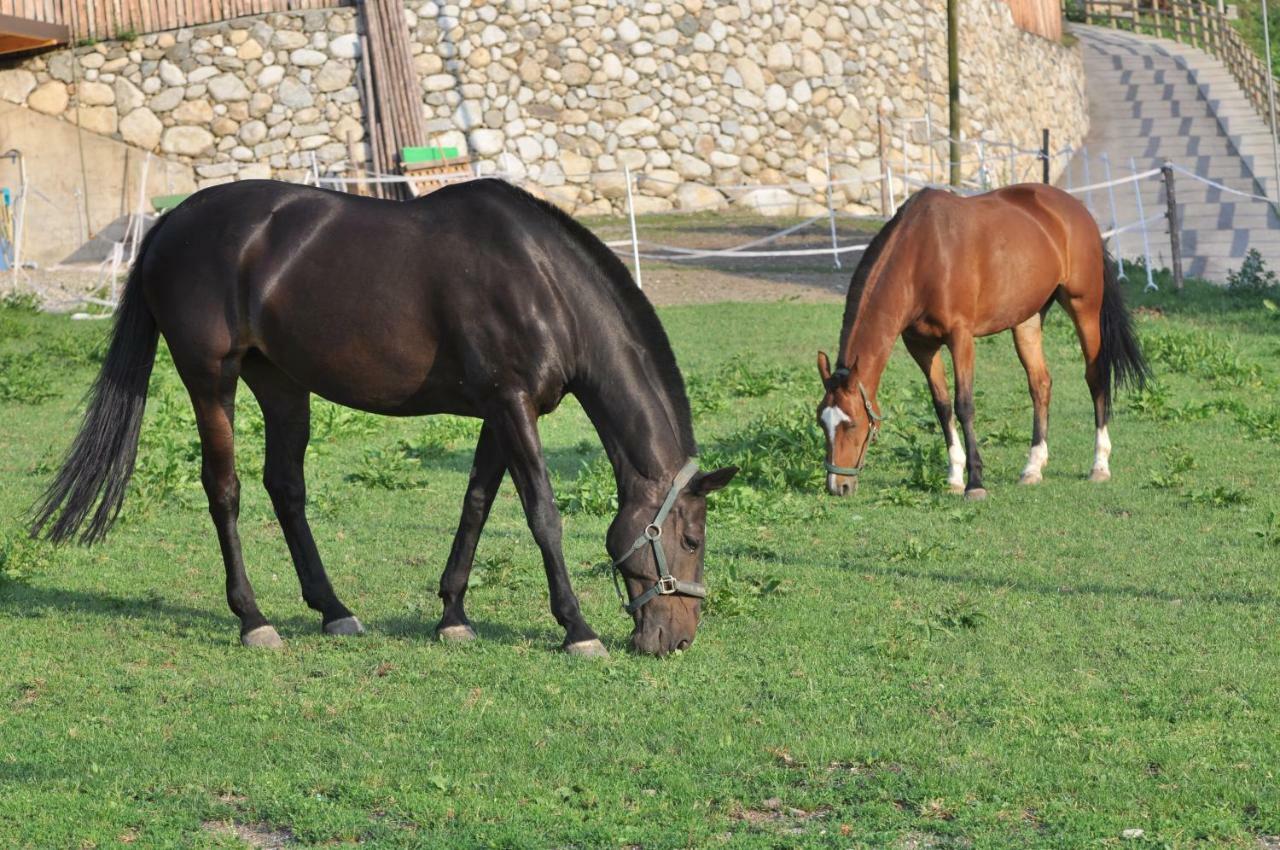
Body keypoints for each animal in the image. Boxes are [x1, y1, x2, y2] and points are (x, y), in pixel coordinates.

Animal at [35, 179, 737, 655]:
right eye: (692, 540)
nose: (677, 638)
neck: (541, 281)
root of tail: (169, 223)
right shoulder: (512, 405)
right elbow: (542, 514)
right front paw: (576, 627)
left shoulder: (499, 410)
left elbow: (476, 504)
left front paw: (453, 615)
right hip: (211, 378)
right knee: (224, 489)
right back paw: (254, 619)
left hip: (281, 382)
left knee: (286, 488)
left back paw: (332, 609)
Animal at [819, 180, 1152, 499]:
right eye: (822, 423)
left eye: (852, 423)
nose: (838, 486)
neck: (922, 256)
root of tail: (1076, 209)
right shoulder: (921, 346)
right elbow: (942, 406)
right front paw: (954, 476)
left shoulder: (961, 338)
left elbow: (964, 405)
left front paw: (975, 483)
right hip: (1027, 319)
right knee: (1040, 384)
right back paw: (1033, 467)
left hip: (1084, 307)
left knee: (1096, 377)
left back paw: (1100, 464)